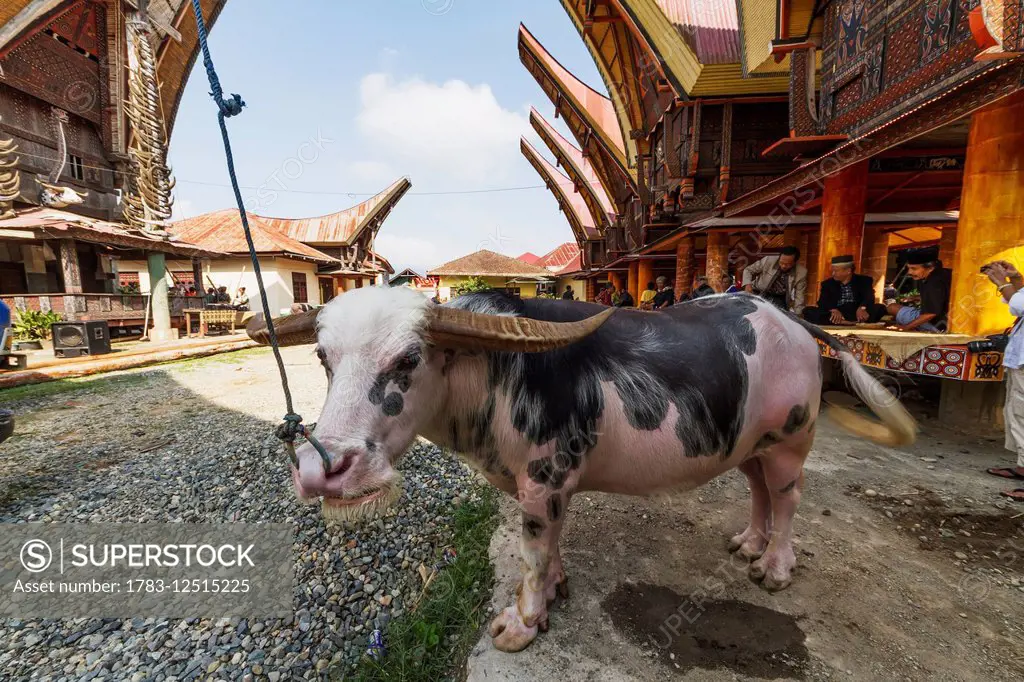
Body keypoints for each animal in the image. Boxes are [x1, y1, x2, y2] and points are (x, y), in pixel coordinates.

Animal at [245, 284, 913, 651]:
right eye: (323, 357)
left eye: (409, 358)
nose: (324, 468)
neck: (495, 375)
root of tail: (790, 322)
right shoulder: (548, 486)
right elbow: (552, 546)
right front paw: (555, 592)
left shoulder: (543, 479)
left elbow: (533, 550)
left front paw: (521, 624)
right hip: (750, 443)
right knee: (760, 492)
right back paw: (748, 543)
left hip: (794, 439)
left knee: (790, 498)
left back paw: (773, 567)